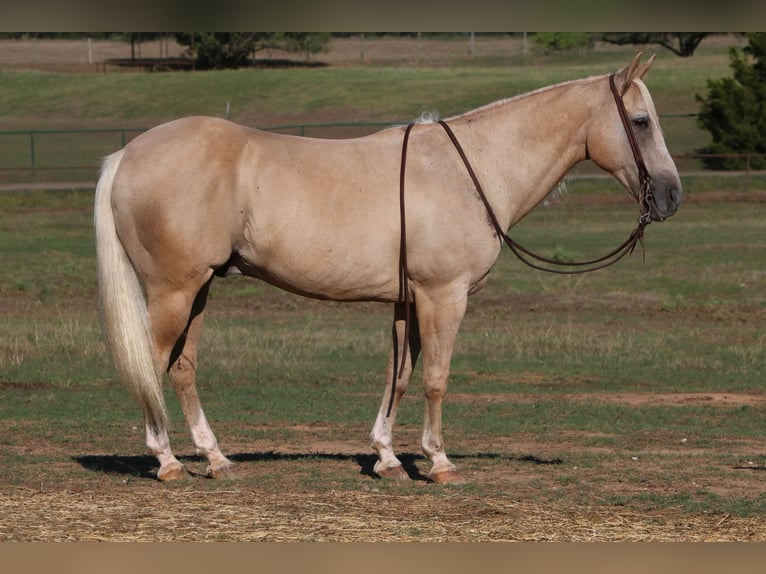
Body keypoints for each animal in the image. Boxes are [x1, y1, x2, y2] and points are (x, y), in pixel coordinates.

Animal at [94, 54, 684, 486]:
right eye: (640, 121)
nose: (672, 196)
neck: (468, 169)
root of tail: (127, 155)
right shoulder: (444, 296)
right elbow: (437, 378)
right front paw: (439, 462)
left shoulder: (408, 300)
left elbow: (398, 375)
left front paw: (388, 457)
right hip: (174, 291)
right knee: (152, 364)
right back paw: (167, 461)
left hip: (198, 290)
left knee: (182, 368)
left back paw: (215, 459)